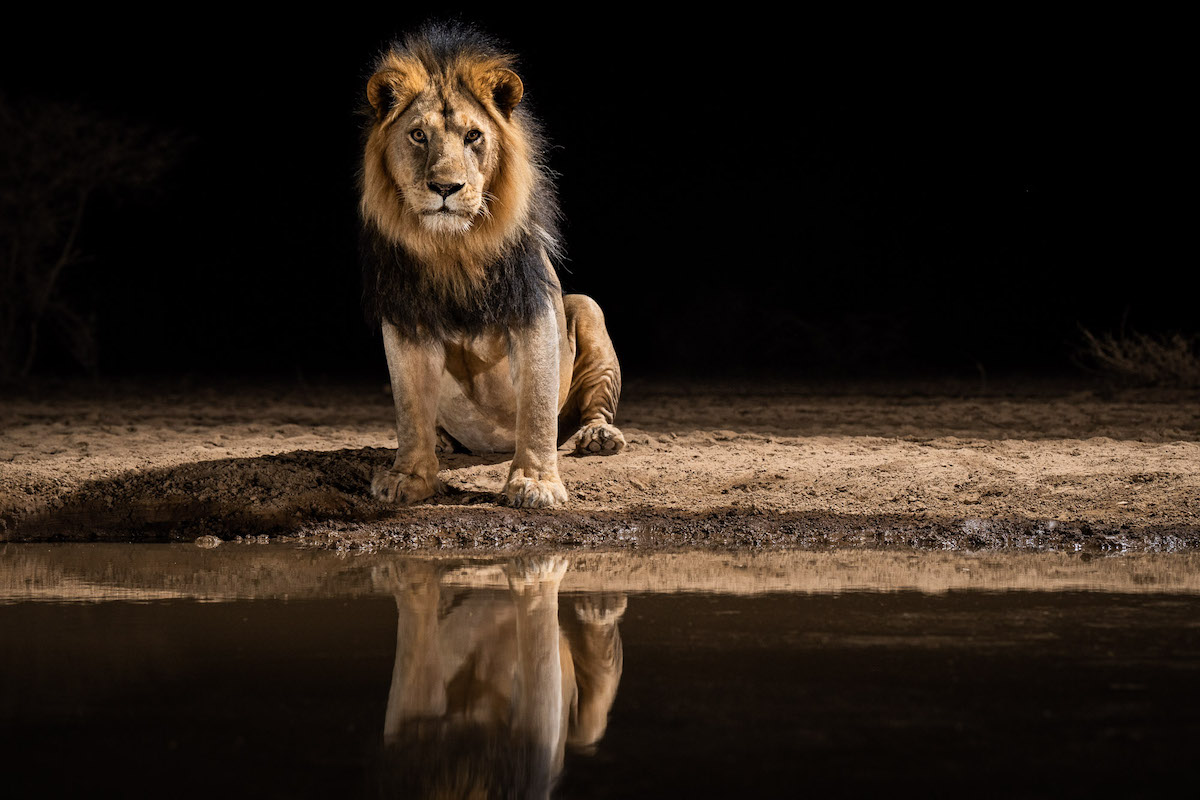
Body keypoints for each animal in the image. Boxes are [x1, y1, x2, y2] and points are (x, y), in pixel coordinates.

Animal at [357, 26, 624, 513]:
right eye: (418, 135)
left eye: (473, 136)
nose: (445, 187)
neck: (453, 249)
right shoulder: (405, 321)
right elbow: (410, 410)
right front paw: (409, 477)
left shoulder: (533, 314)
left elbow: (536, 409)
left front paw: (536, 483)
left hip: (588, 309)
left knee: (592, 405)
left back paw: (599, 436)